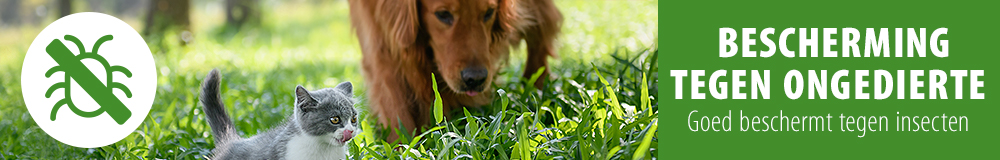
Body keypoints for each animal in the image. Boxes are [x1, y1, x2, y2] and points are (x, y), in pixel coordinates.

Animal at [348, 0, 560, 142]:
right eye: (443, 14)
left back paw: (537, 89)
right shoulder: (379, 38)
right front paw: (405, 146)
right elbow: (394, 106)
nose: (475, 79)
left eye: (489, 13)